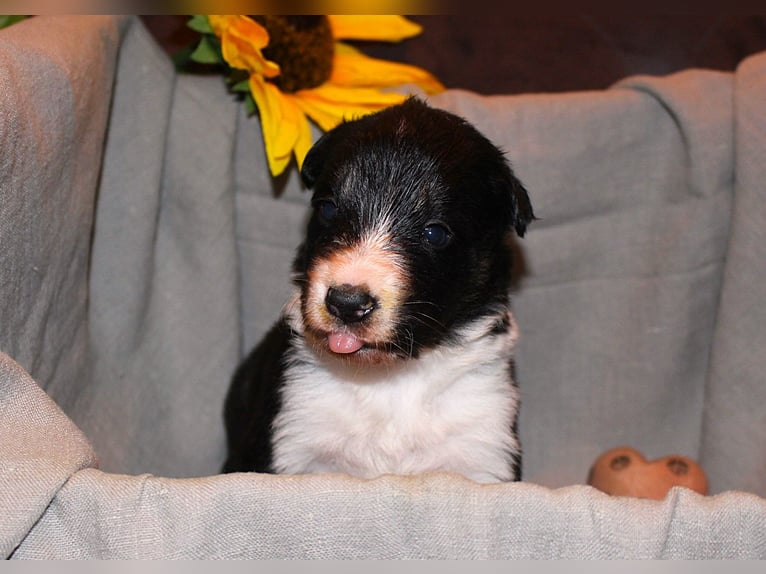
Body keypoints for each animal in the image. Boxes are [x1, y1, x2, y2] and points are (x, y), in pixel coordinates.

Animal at [222, 97, 536, 484]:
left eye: (435, 233)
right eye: (328, 209)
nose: (347, 303)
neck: (388, 378)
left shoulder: (484, 448)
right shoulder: (291, 430)